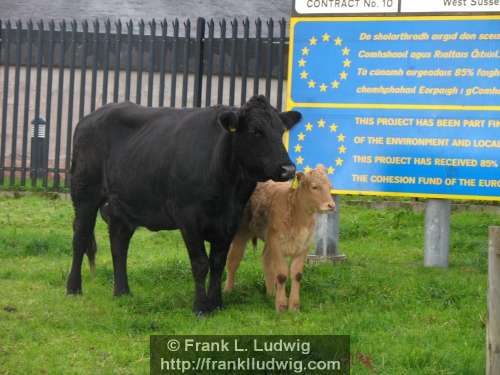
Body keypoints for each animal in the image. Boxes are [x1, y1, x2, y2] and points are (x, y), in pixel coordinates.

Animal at [66, 96, 300, 314]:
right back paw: (73, 288)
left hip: (123, 205)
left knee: (119, 243)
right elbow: (200, 263)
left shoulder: (230, 220)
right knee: (81, 237)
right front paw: (201, 307)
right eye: (255, 131)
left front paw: (217, 304)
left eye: (281, 130)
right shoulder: (188, 218)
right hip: (85, 192)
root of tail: (91, 117)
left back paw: (122, 291)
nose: (288, 169)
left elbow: (218, 262)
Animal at [225, 166, 334, 312]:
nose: (331, 205)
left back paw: (271, 293)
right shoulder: (276, 244)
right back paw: (228, 290)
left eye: (330, 187)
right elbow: (281, 275)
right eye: (314, 187)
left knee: (265, 260)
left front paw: (294, 306)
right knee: (233, 261)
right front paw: (281, 306)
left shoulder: (304, 246)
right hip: (242, 233)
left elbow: (297, 274)